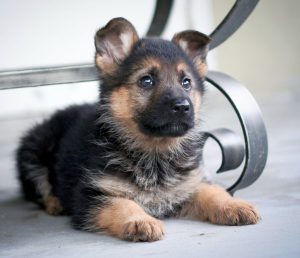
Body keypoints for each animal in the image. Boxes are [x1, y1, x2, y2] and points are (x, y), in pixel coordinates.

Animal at [17, 17, 260, 241]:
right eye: (146, 81)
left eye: (186, 82)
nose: (183, 106)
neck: (155, 153)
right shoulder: (91, 196)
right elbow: (122, 203)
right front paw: (140, 220)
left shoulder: (188, 184)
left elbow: (212, 191)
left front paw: (234, 205)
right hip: (35, 148)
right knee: (38, 186)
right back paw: (55, 202)